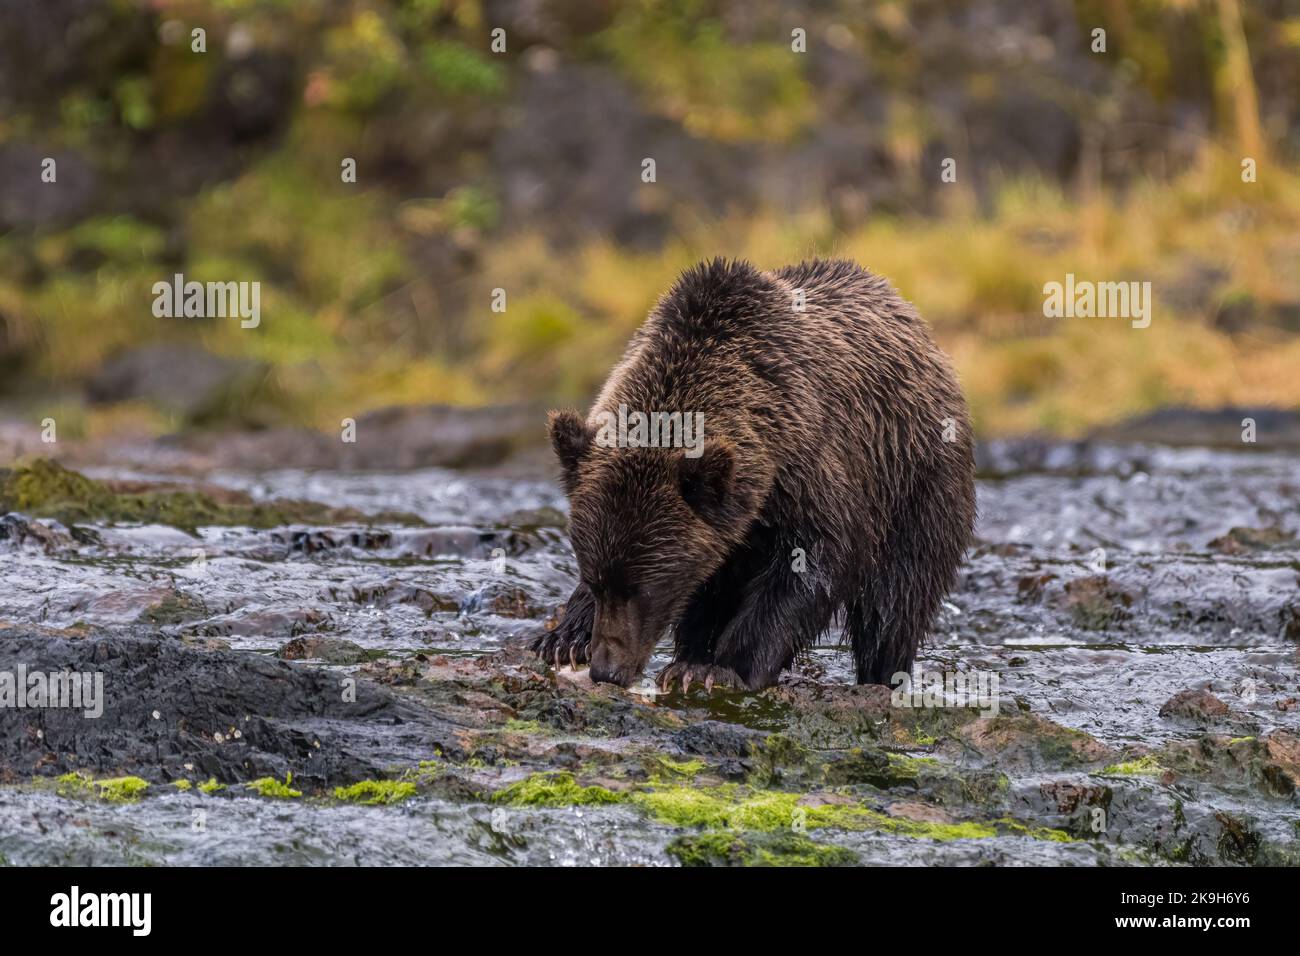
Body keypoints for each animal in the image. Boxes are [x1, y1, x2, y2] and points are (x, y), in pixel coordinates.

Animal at [530, 257, 977, 691]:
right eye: (595, 579)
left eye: (647, 588)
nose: (608, 670)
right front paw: (562, 639)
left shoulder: (812, 472)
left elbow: (815, 564)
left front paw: (718, 668)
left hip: (916, 484)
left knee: (894, 604)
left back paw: (882, 674)